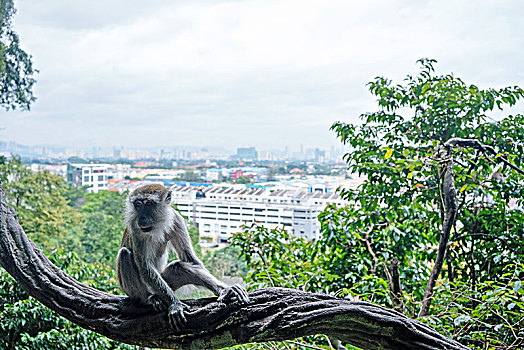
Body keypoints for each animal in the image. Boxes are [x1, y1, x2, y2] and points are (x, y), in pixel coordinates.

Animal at [117, 185, 249, 330]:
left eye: (149, 203)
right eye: (138, 204)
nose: (142, 217)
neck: (156, 226)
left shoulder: (176, 219)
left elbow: (189, 259)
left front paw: (225, 289)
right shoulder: (135, 228)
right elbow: (145, 268)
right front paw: (175, 304)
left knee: (179, 267)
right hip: (132, 291)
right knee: (124, 254)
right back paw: (150, 299)